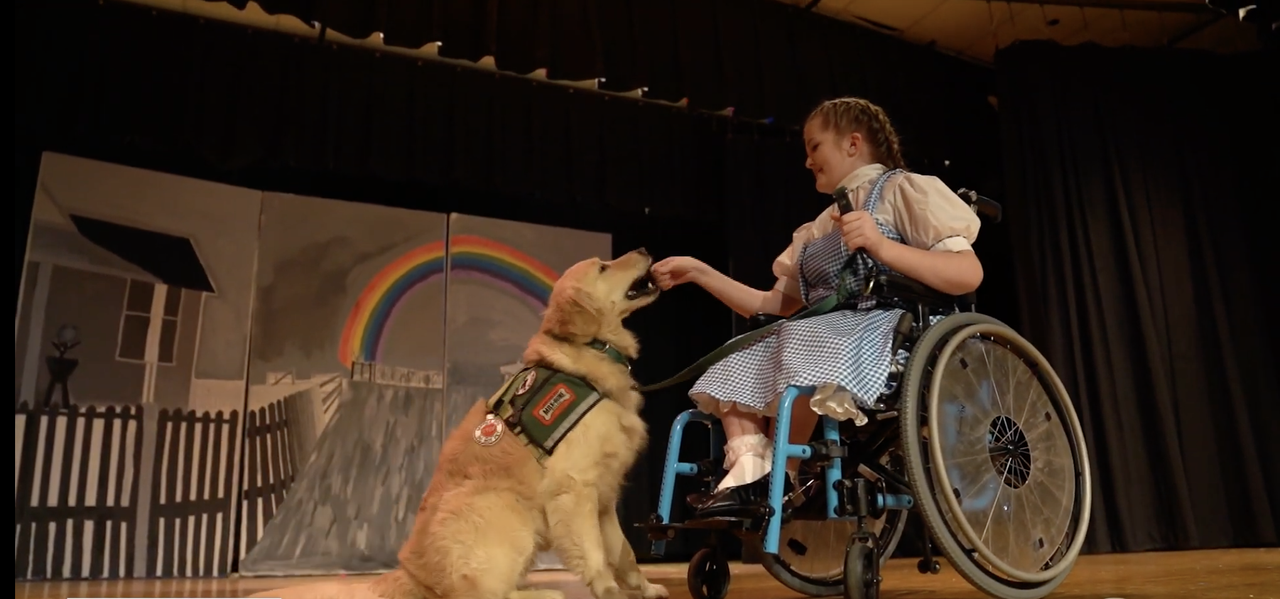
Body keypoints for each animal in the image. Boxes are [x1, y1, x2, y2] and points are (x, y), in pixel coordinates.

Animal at [250, 248, 670, 599]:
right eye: (603, 267)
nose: (644, 249)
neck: (591, 354)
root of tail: (412, 576)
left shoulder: (604, 496)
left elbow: (625, 553)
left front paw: (645, 588)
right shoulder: (574, 488)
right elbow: (596, 555)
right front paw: (610, 592)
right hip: (506, 507)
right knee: (481, 594)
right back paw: (547, 593)